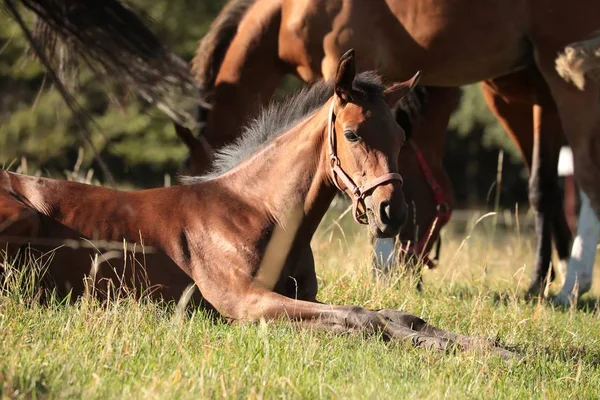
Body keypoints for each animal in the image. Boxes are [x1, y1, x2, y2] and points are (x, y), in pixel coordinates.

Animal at [0, 52, 516, 356]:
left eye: (401, 138)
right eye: (351, 134)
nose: (393, 213)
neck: (256, 211)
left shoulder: (299, 296)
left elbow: (398, 315)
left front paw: (493, 347)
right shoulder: (245, 301)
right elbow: (363, 318)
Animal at [185, 0, 596, 294]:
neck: (287, 11)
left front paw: (381, 272)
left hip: (566, 71)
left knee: (588, 172)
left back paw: (574, 285)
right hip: (520, 93)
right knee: (546, 183)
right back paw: (547, 280)